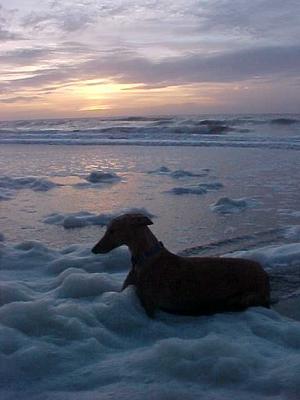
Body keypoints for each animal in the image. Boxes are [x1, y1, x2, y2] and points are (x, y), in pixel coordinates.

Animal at [91, 214, 270, 318]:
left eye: (112, 230)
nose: (94, 249)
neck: (145, 260)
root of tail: (263, 272)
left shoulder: (149, 303)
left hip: (247, 296)